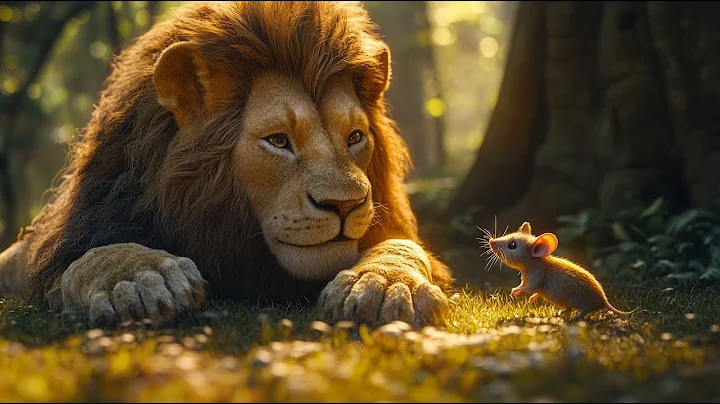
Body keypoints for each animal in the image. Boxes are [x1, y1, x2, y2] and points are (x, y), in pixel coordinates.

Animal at [0, 1, 454, 328]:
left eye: (355, 137)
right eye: (278, 141)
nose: (345, 206)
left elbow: (401, 244)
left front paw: (383, 283)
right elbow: (93, 253)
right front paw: (141, 278)